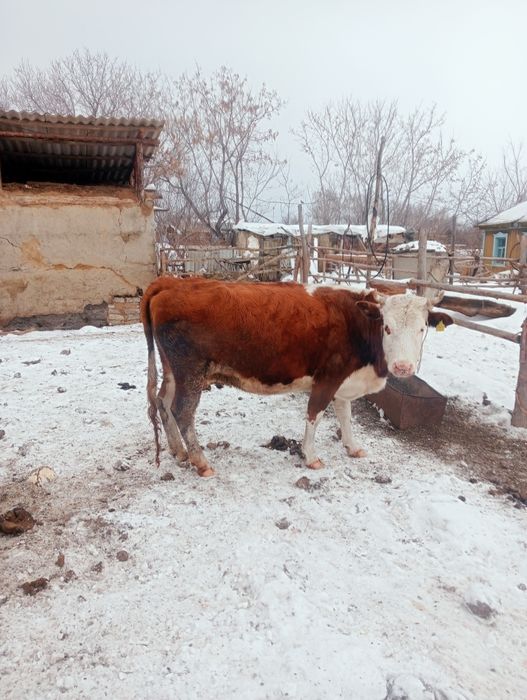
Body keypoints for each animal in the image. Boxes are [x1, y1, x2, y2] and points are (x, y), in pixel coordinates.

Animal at [140, 277, 453, 477]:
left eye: (423, 328)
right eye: (387, 327)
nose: (403, 367)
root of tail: (171, 282)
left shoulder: (344, 380)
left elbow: (345, 415)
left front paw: (352, 448)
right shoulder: (328, 377)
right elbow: (315, 415)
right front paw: (311, 457)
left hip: (173, 371)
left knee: (163, 402)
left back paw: (178, 451)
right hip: (190, 372)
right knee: (182, 411)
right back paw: (200, 461)